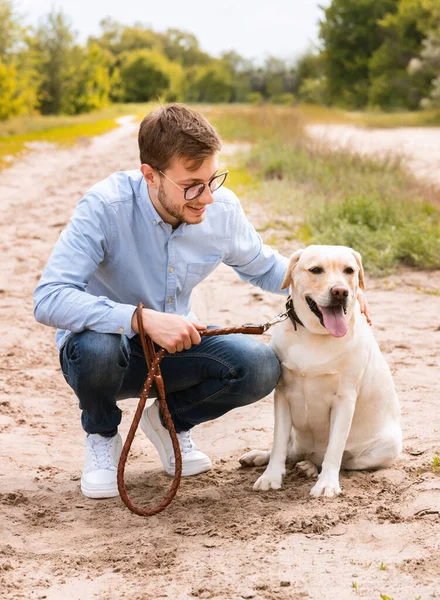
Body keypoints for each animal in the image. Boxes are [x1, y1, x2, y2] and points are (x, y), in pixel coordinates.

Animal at [241, 244, 402, 496]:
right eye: (316, 270)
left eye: (349, 270)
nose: (340, 292)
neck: (314, 334)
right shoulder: (283, 394)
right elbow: (278, 443)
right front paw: (271, 476)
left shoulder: (344, 400)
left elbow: (334, 448)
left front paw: (326, 484)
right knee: (291, 451)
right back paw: (262, 457)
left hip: (385, 448)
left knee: (341, 460)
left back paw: (309, 466)